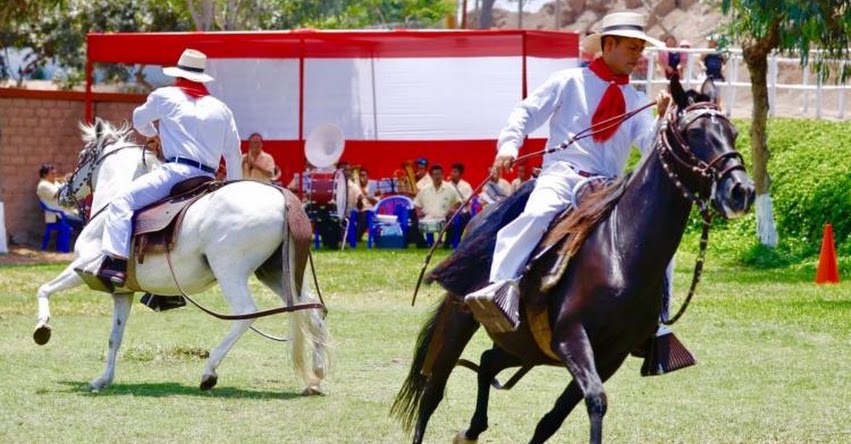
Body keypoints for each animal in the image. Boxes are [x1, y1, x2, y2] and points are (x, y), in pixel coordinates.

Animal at [32, 119, 330, 394]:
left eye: (82, 155)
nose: (61, 193)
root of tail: (282, 197)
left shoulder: (82, 267)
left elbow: (44, 289)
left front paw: (42, 329)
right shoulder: (122, 292)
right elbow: (114, 337)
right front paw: (103, 379)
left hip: (230, 271)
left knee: (246, 313)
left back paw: (209, 372)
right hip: (276, 272)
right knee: (311, 310)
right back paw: (316, 375)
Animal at [392, 77, 752, 444]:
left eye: (733, 132)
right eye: (694, 133)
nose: (741, 190)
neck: (620, 251)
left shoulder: (611, 355)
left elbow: (554, 418)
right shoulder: (571, 337)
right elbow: (595, 401)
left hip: (525, 345)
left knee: (488, 361)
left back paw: (473, 429)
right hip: (460, 320)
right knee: (433, 391)